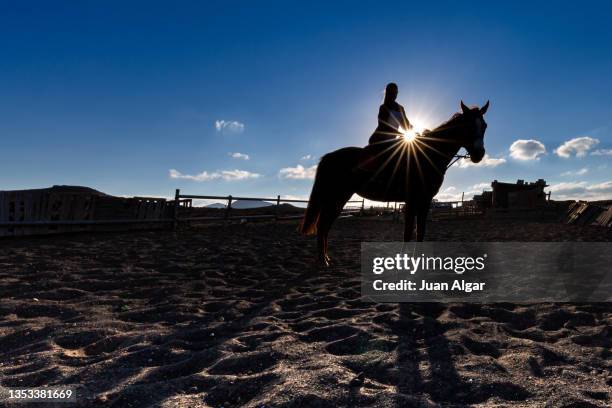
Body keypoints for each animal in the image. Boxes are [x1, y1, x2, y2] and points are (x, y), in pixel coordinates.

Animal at [298, 99, 490, 264]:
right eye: (467, 125)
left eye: (484, 126)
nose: (479, 154)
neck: (428, 154)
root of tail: (329, 157)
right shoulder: (414, 200)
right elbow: (409, 232)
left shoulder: (424, 200)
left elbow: (420, 231)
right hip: (336, 197)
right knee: (323, 224)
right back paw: (323, 260)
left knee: (325, 225)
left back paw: (325, 258)